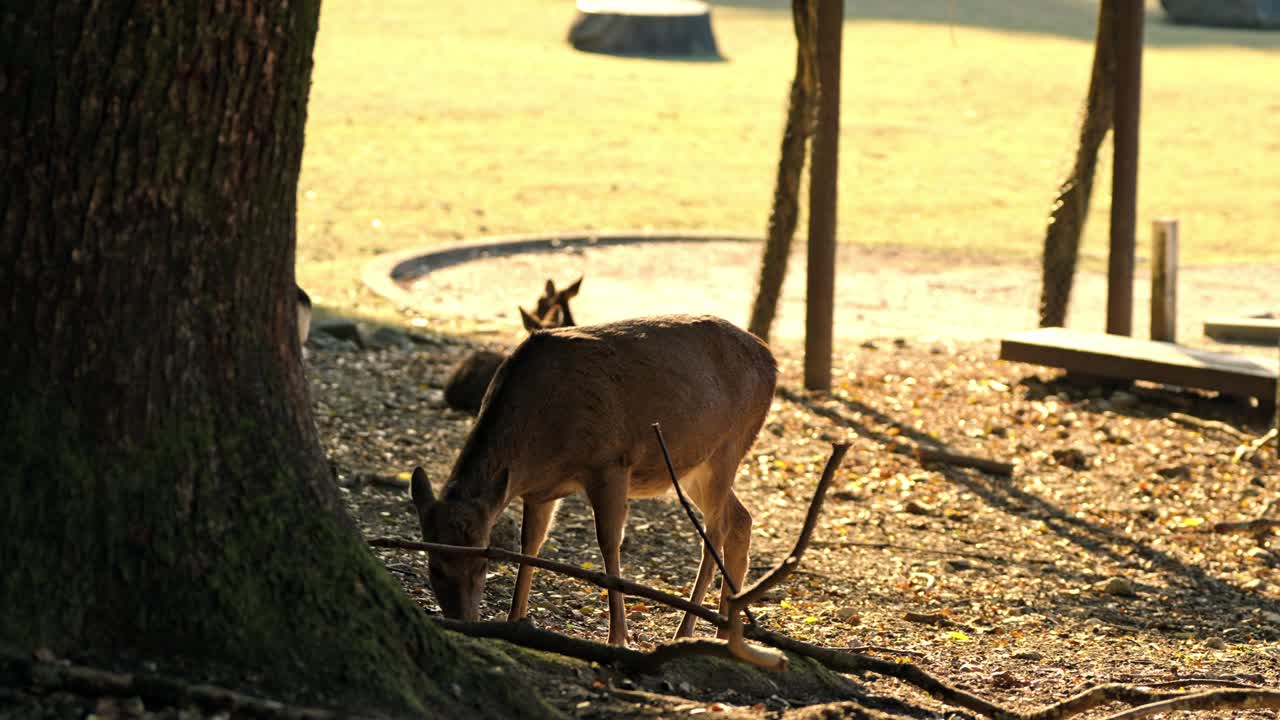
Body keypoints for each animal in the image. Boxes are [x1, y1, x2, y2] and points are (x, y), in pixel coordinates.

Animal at [410, 314, 777, 646]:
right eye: (434, 565)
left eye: (482, 564)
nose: (463, 620)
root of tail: (771, 361)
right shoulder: (539, 491)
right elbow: (530, 544)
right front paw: (515, 619)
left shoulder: (611, 461)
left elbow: (608, 543)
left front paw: (618, 637)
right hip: (692, 467)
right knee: (741, 518)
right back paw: (724, 631)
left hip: (730, 443)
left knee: (716, 529)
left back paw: (685, 630)